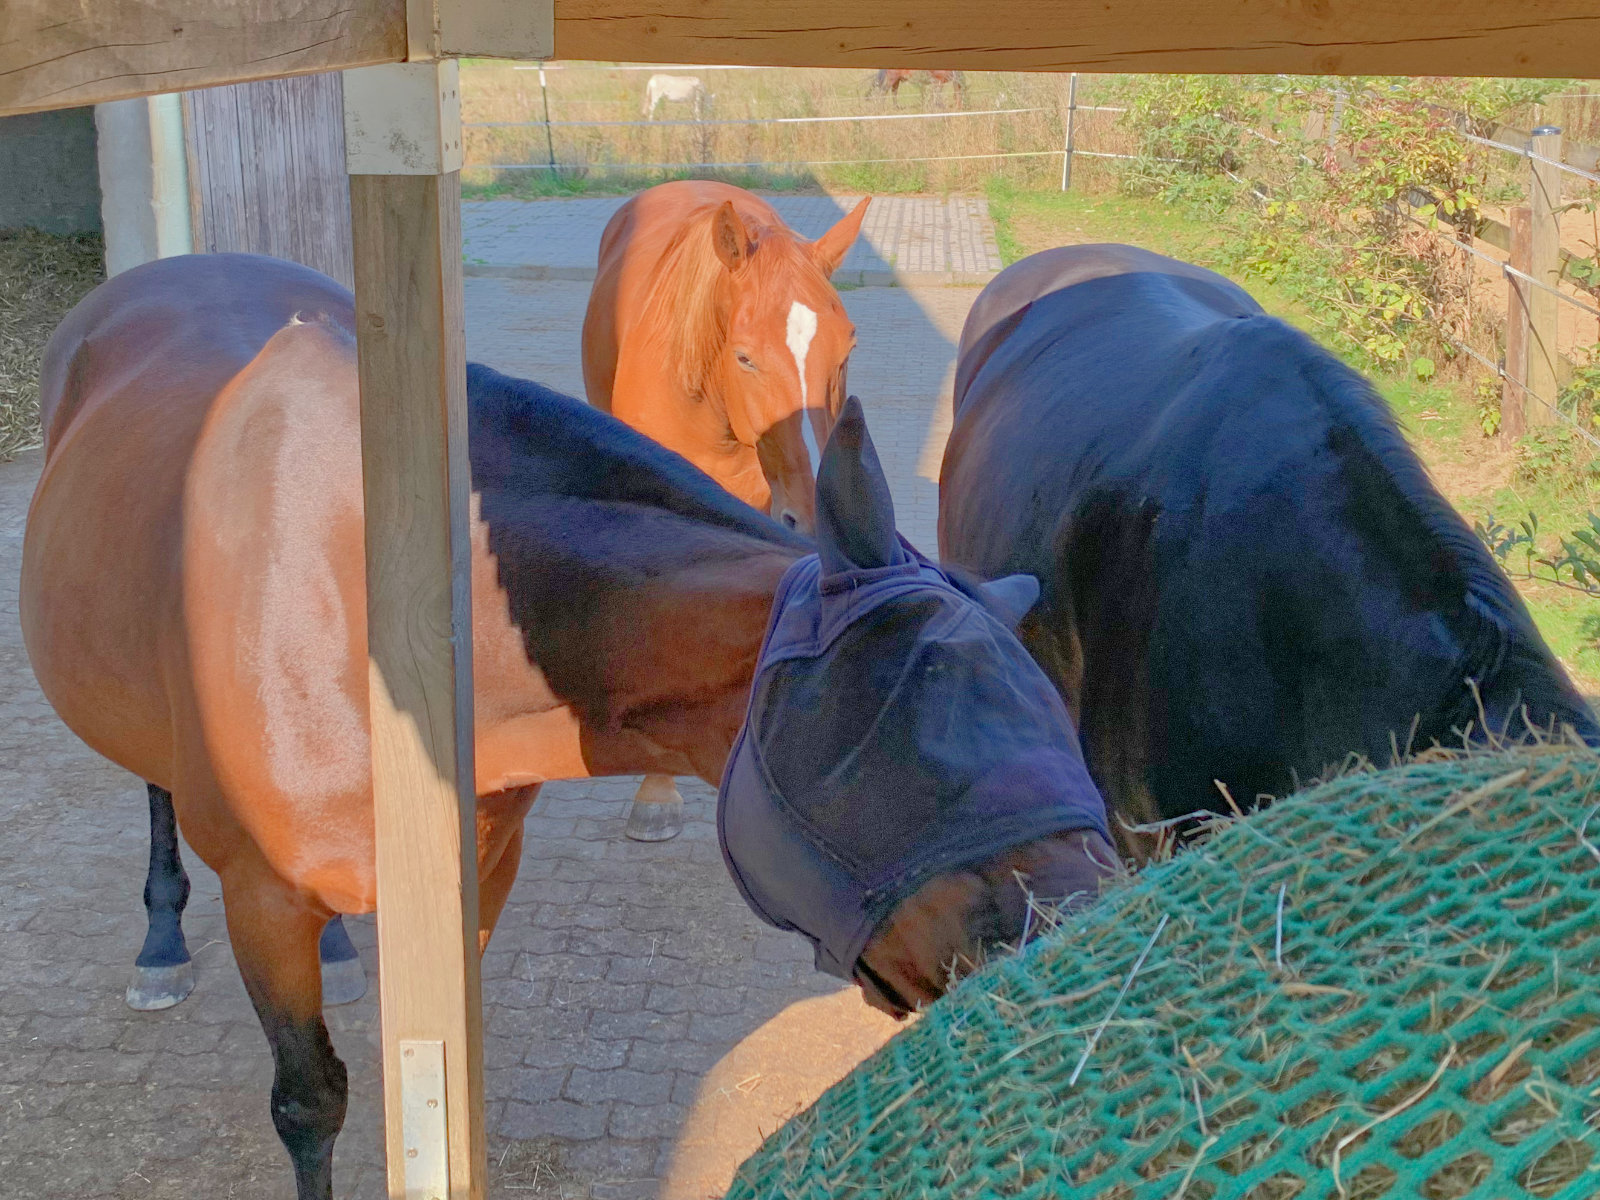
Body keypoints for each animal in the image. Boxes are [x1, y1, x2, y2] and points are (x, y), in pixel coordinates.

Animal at [22, 252, 1116, 1199]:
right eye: (915, 729)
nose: (1093, 940)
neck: (371, 620)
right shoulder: (261, 901)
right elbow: (310, 1102)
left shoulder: (477, 878)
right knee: (155, 787)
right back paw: (161, 941)